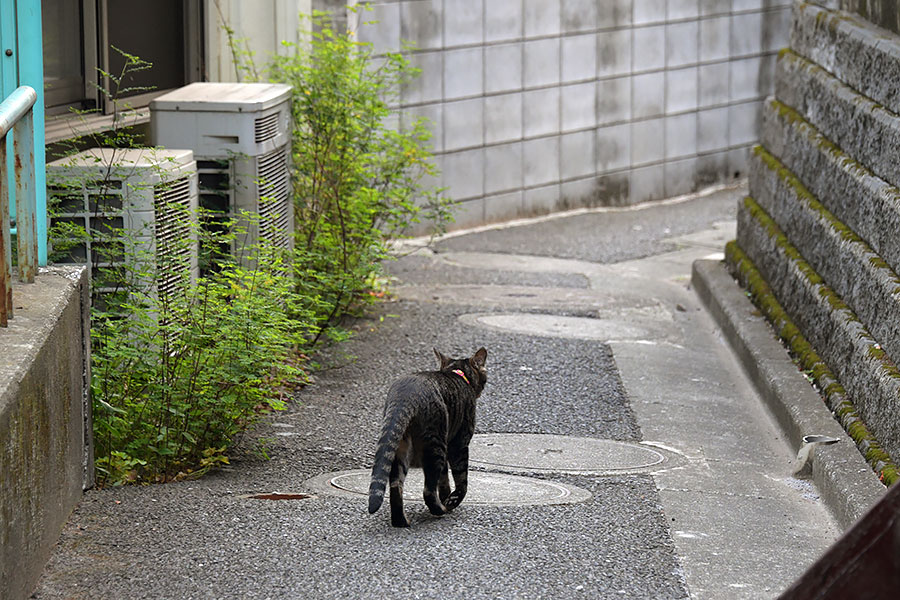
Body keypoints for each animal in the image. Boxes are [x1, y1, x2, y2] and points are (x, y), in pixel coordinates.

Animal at [368, 346, 486, 524]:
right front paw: (451, 501)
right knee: (428, 490)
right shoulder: (459, 444)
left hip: (399, 447)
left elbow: (444, 479)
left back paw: (401, 521)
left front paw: (446, 496)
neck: (457, 373)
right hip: (436, 444)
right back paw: (439, 510)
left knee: (396, 485)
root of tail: (404, 396)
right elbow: (461, 480)